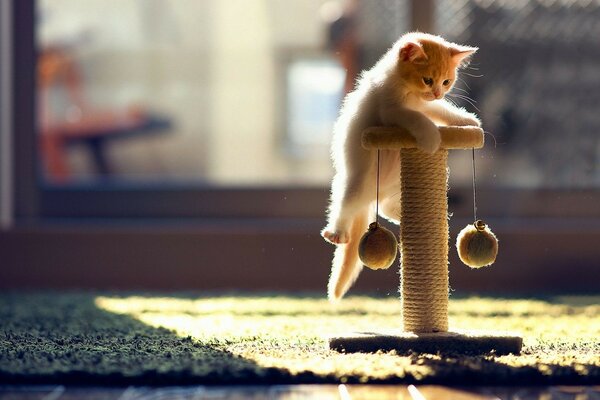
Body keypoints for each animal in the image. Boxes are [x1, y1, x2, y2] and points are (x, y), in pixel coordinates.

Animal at [322, 32, 480, 300]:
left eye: (446, 82)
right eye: (428, 80)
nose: (437, 92)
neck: (409, 90)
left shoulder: (427, 104)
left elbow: (440, 110)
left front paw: (468, 121)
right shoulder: (391, 110)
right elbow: (417, 118)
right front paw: (431, 137)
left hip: (394, 181)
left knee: (384, 206)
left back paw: (401, 215)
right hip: (358, 180)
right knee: (344, 205)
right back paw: (337, 231)